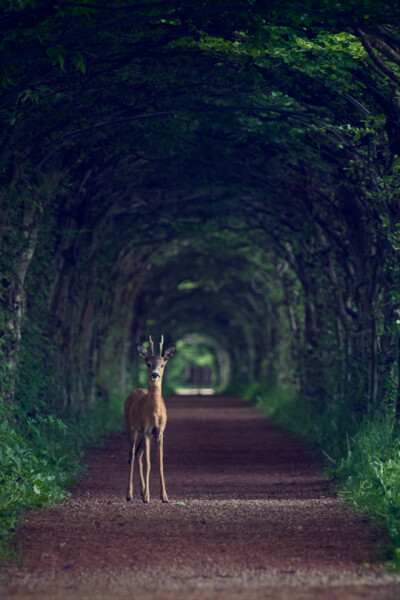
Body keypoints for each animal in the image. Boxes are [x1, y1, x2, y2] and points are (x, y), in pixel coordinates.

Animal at [124, 336, 176, 504]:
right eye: (148, 363)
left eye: (162, 364)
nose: (155, 374)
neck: (154, 413)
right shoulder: (147, 430)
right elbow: (149, 463)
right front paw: (148, 497)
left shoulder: (159, 431)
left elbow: (160, 463)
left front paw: (164, 497)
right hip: (131, 428)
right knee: (132, 456)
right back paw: (130, 495)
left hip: (140, 432)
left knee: (138, 455)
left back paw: (141, 492)